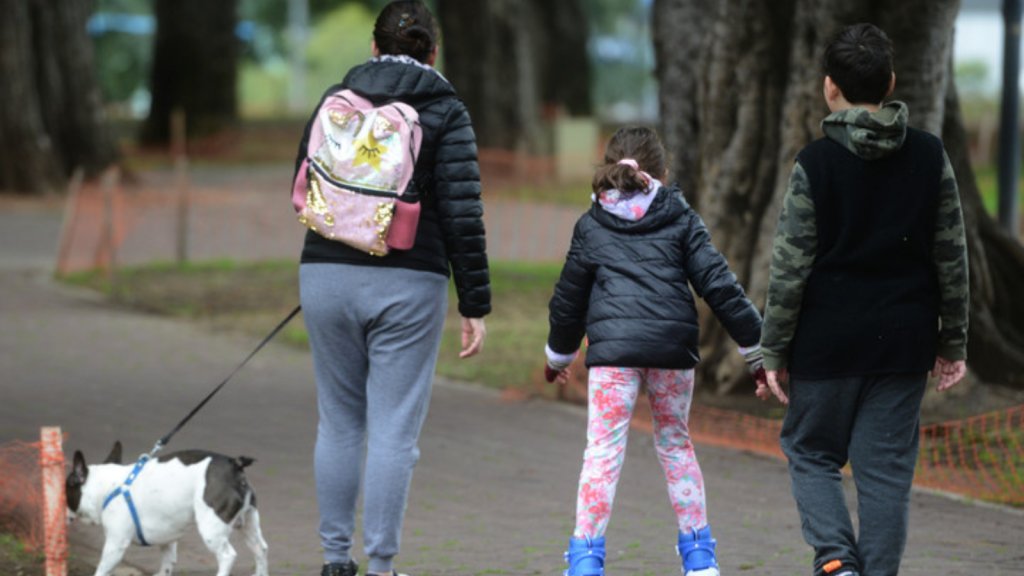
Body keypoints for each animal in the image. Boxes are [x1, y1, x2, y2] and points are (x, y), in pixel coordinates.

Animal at [65, 440, 268, 573]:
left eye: (65, 489)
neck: (109, 486)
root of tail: (234, 464)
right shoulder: (167, 539)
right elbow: (167, 564)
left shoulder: (115, 544)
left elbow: (102, 570)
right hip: (249, 521)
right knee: (260, 549)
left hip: (212, 527)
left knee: (227, 555)